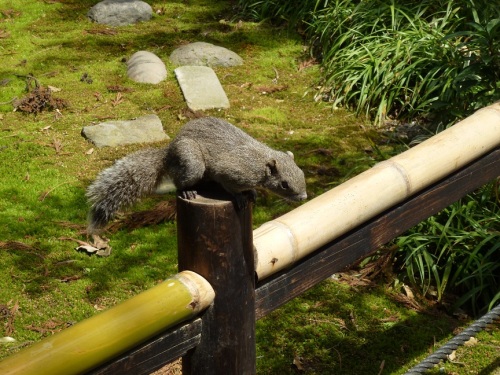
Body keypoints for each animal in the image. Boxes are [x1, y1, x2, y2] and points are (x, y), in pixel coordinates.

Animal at [86, 117, 306, 235]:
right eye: (284, 184)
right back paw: (188, 191)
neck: (259, 161)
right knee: (179, 182)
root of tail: (168, 153)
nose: (303, 197)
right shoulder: (231, 172)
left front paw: (252, 192)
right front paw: (241, 197)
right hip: (192, 163)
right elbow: (232, 187)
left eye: (302, 174)